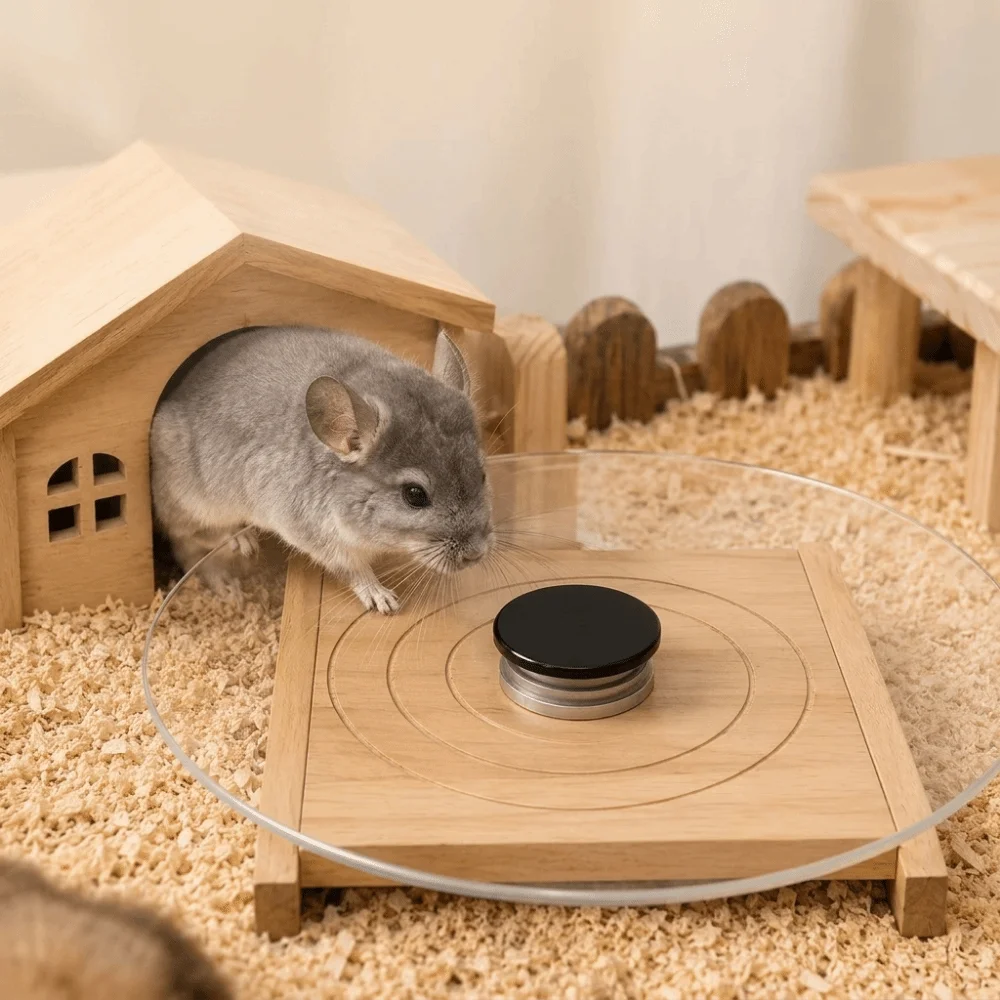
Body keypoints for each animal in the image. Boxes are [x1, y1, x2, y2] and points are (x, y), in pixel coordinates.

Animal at [150, 325, 494, 613]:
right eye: (414, 495)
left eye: (482, 475)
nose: (475, 555)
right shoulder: (316, 534)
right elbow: (354, 569)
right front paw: (383, 600)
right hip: (194, 501)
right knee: (191, 541)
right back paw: (237, 556)